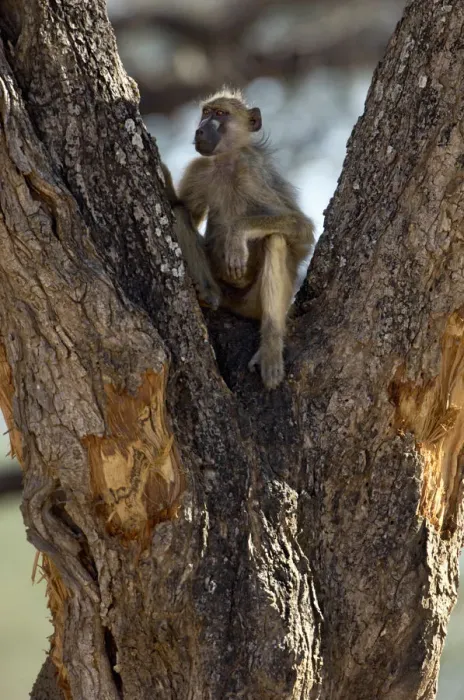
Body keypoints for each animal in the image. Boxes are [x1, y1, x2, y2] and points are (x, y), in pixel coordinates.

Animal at [163, 88, 314, 389]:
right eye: (206, 112)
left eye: (221, 114)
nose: (200, 129)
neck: (227, 161)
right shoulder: (200, 168)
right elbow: (184, 210)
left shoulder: (252, 172)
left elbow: (301, 229)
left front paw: (236, 236)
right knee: (178, 214)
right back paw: (209, 293)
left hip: (252, 303)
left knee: (275, 240)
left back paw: (270, 347)